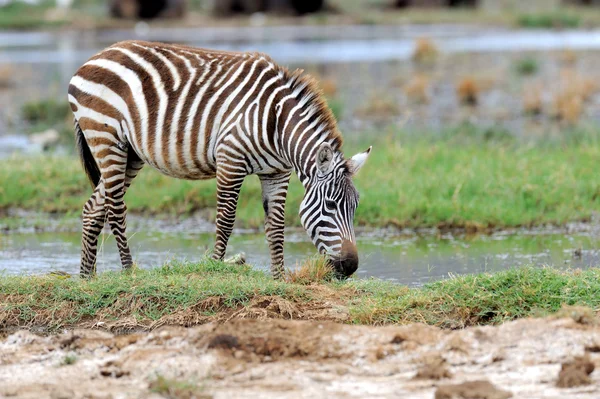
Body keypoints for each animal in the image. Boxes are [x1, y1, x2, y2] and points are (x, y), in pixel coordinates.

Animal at [69, 39, 370, 278]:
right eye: (330, 205)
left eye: (355, 207)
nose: (351, 267)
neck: (277, 124)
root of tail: (97, 55)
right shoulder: (230, 160)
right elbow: (226, 220)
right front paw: (212, 268)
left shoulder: (276, 173)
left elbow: (276, 226)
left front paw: (279, 279)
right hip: (107, 139)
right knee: (115, 208)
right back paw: (128, 270)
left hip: (130, 154)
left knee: (93, 208)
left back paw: (87, 279)